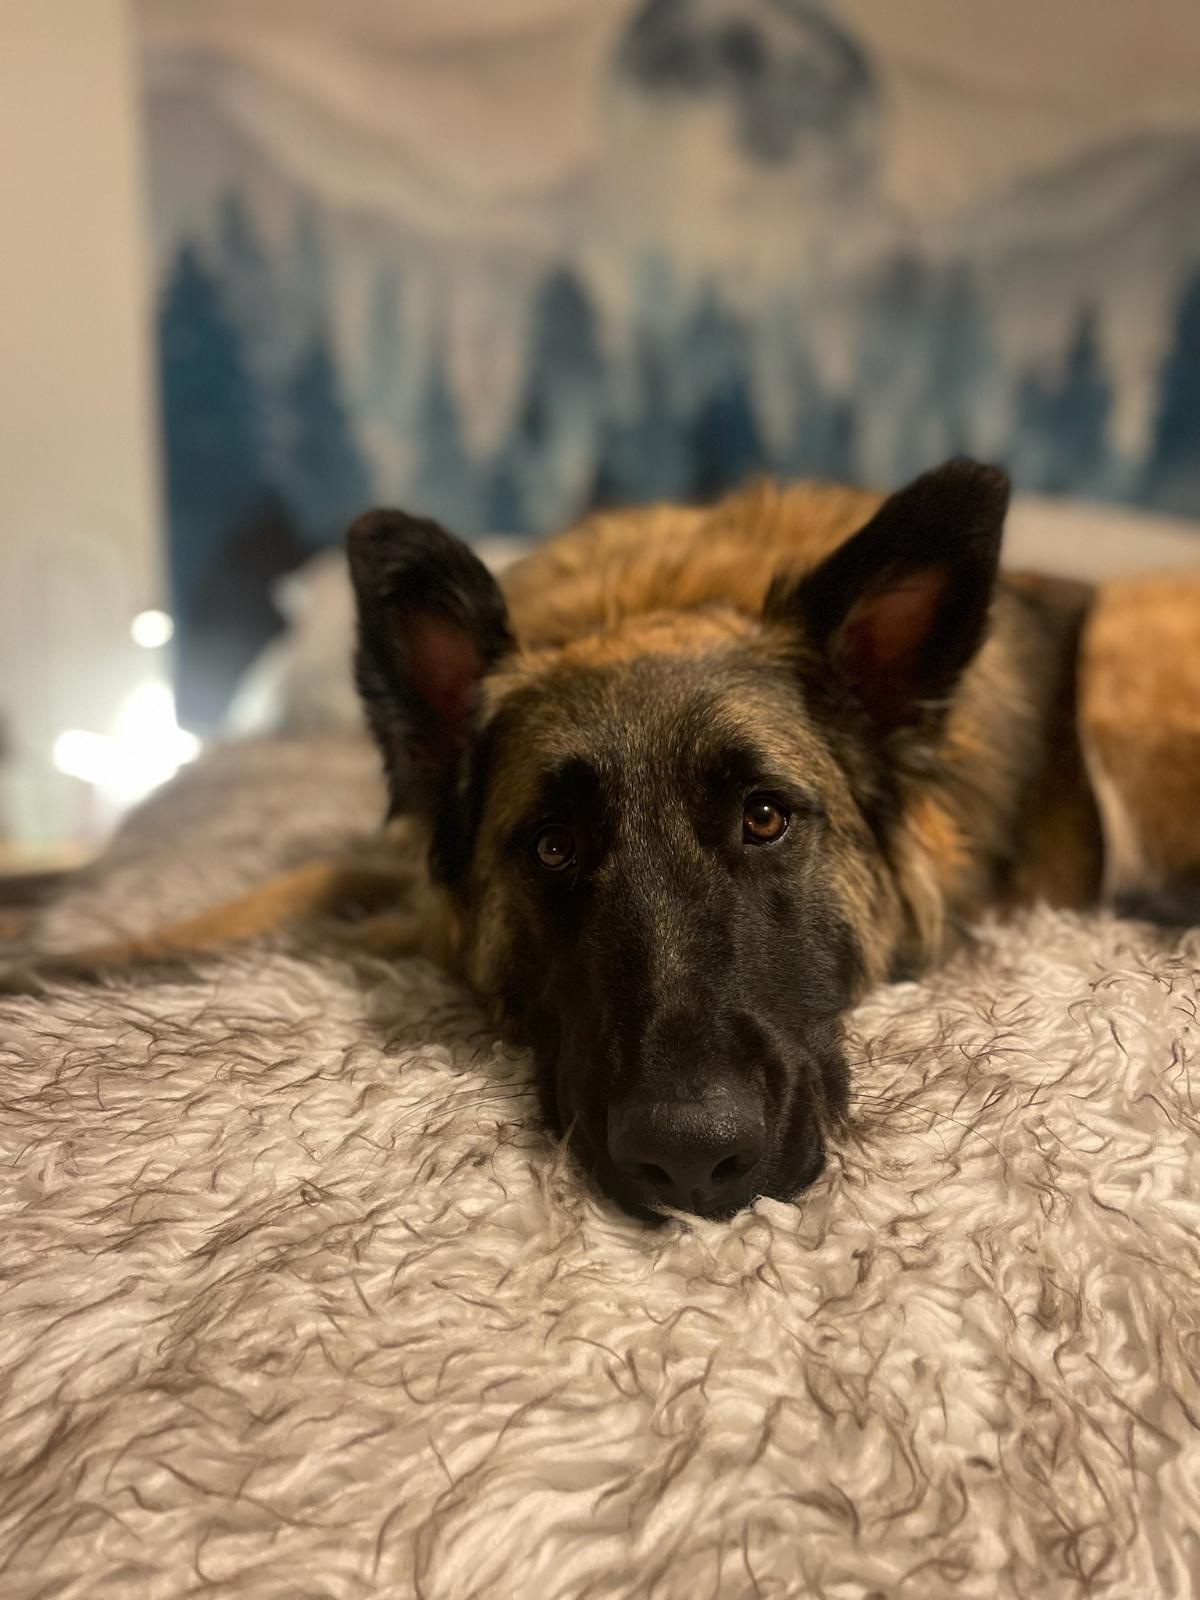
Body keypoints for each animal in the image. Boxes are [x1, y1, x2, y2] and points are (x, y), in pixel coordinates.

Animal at [18, 464, 1200, 1222]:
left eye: (764, 817)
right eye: (550, 845)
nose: (694, 1163)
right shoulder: (399, 868)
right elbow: (284, 887)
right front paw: (69, 962)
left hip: (1123, 648)